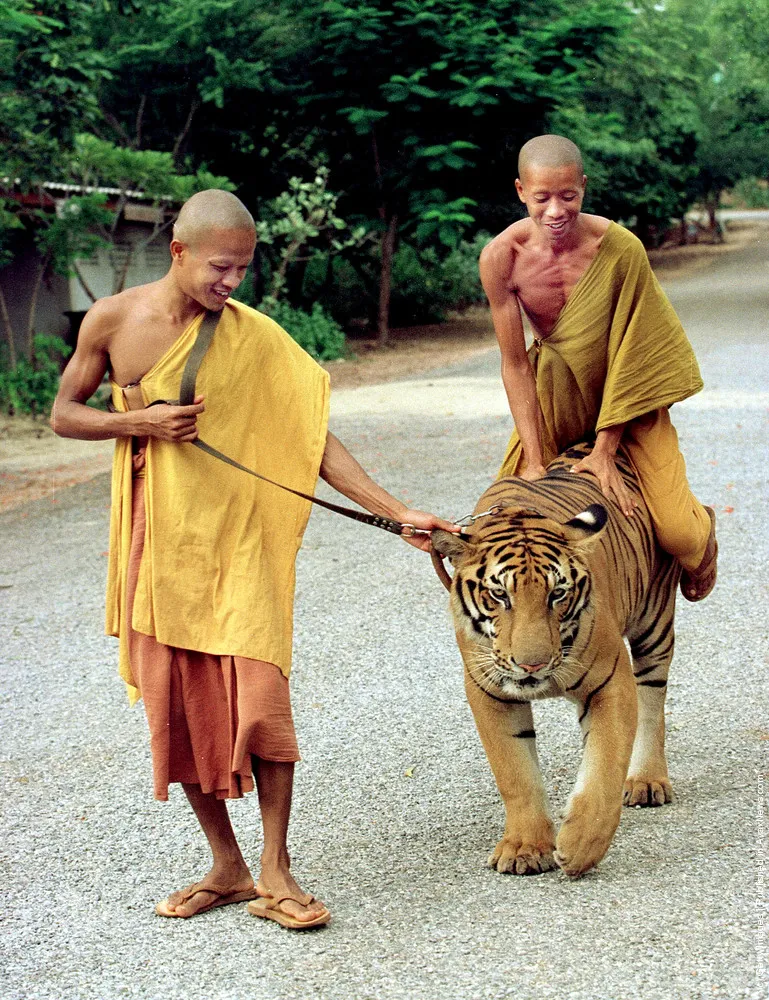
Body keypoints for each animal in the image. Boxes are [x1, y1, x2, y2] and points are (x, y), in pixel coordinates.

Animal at [431, 442, 681, 878]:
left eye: (557, 594)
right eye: (499, 595)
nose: (532, 665)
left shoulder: (610, 681)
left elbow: (605, 768)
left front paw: (580, 847)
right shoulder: (488, 692)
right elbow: (515, 773)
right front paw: (525, 848)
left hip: (654, 622)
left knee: (652, 700)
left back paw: (647, 780)